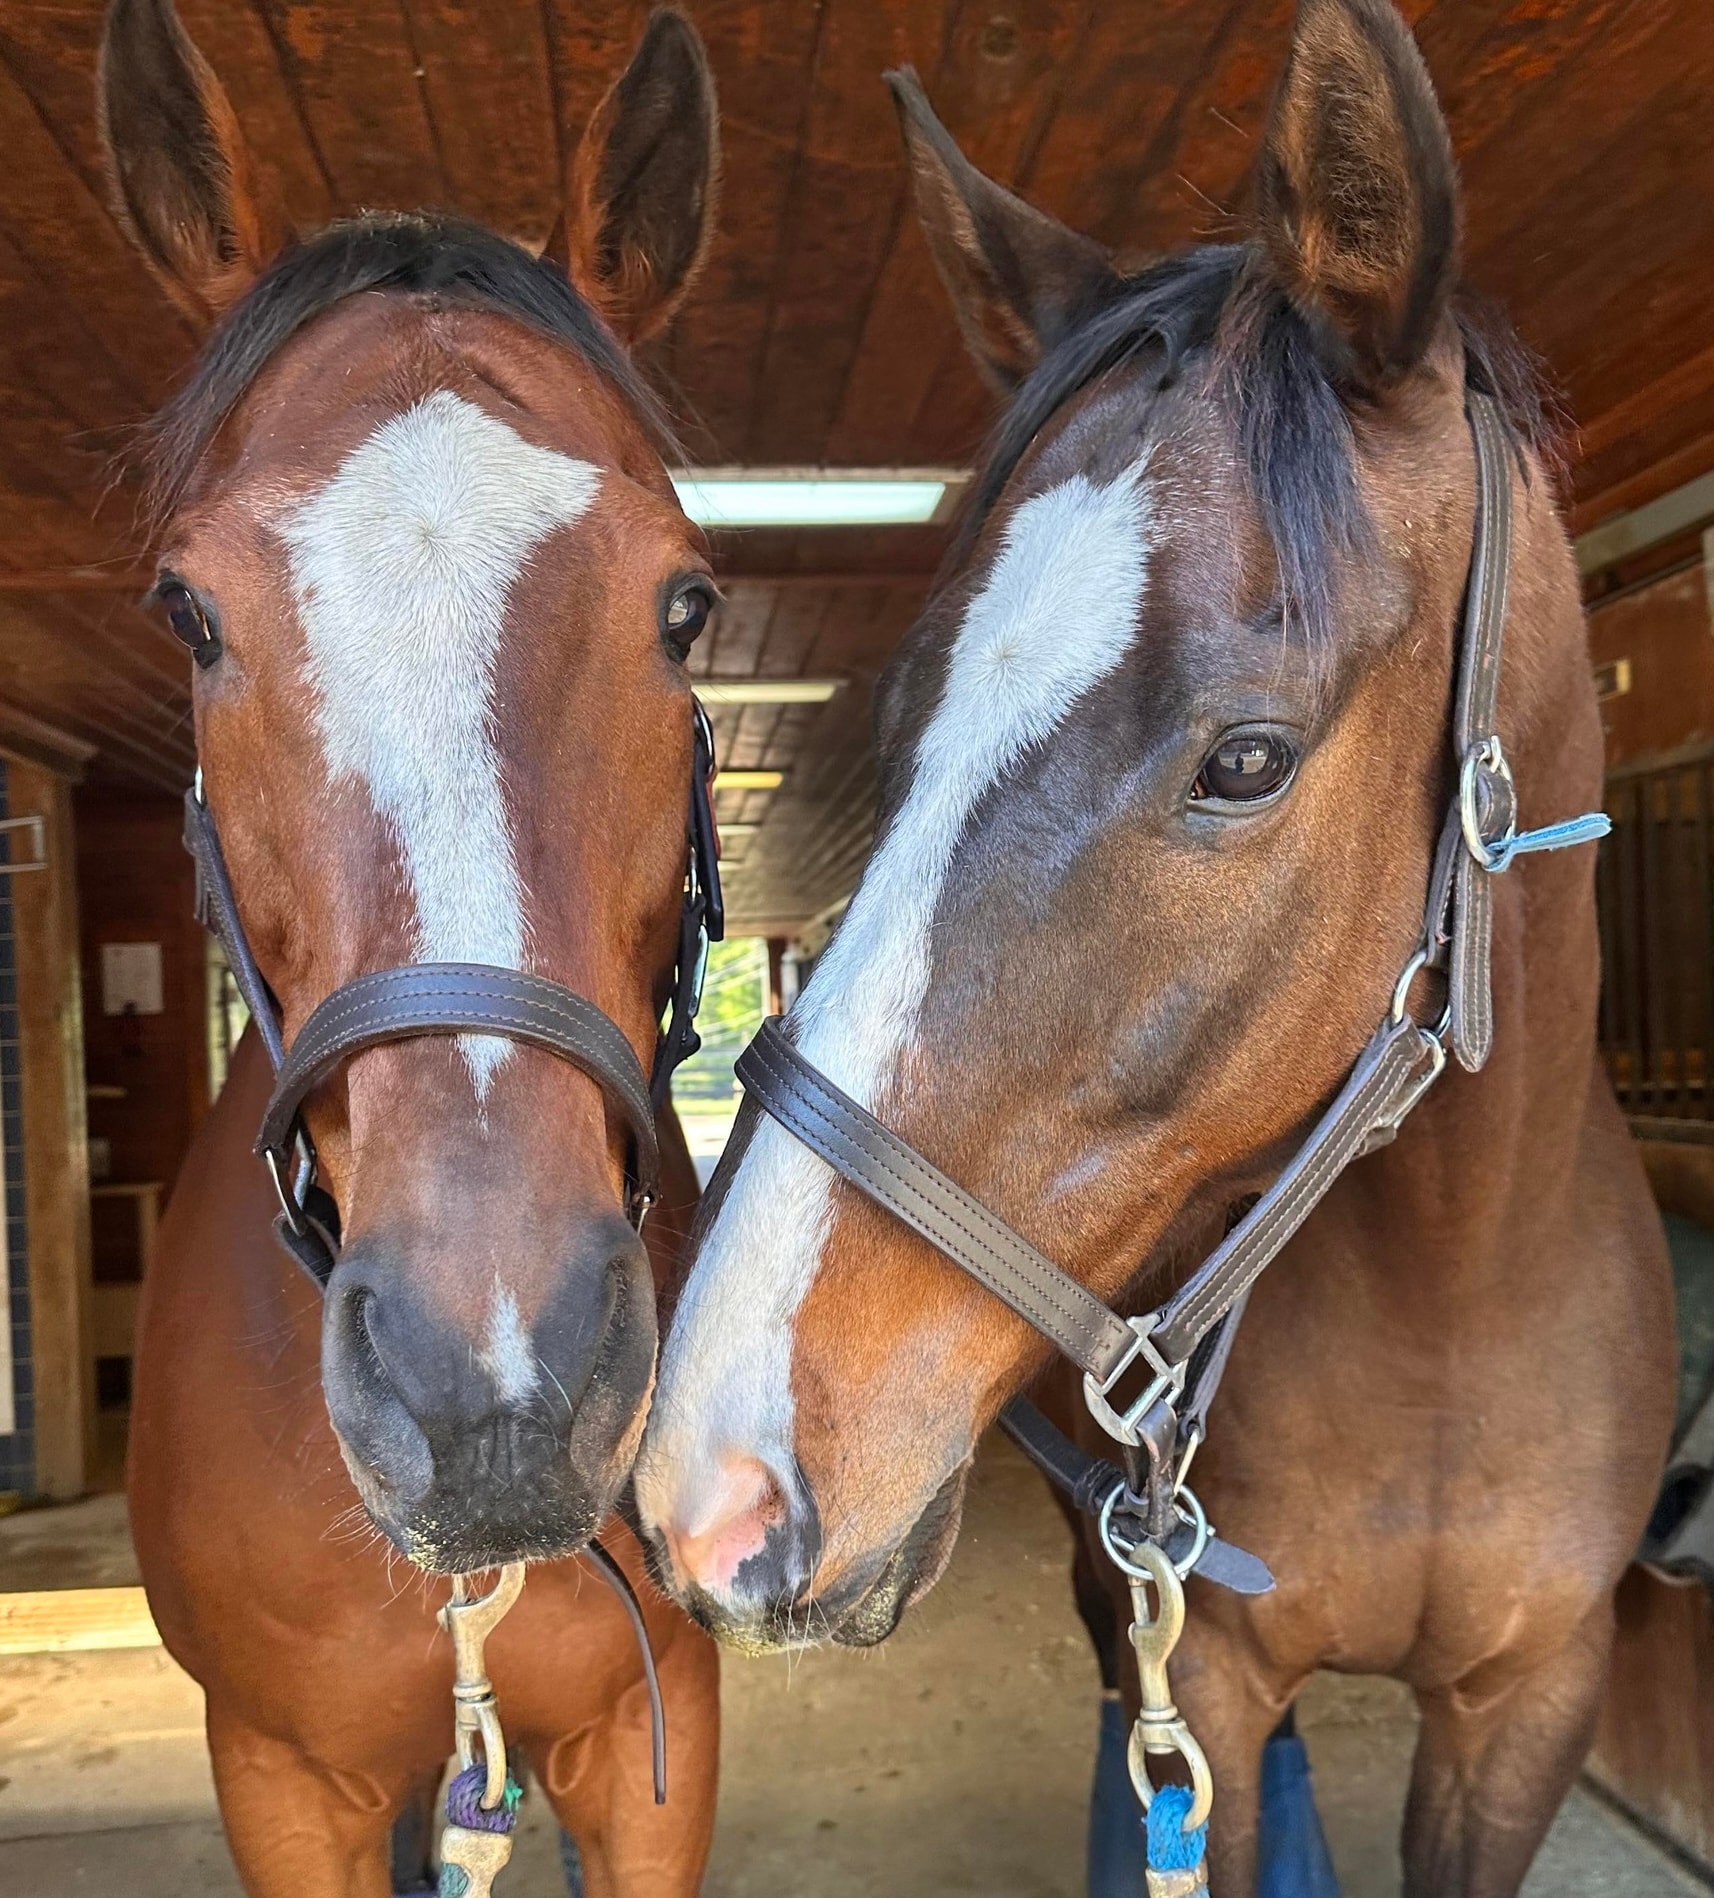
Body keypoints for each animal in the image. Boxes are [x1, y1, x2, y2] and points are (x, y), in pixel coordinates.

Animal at [633, 1, 1676, 1891]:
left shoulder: (1528, 1704)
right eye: (902, 717)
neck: (1456, 1307)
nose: (712, 1476)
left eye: (1243, 758)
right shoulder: (1205, 1669)